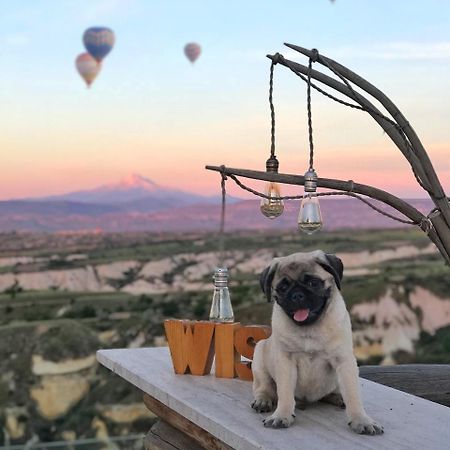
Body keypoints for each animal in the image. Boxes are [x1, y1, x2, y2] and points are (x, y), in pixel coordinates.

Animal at [250, 251, 384, 434]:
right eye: (283, 288)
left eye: (313, 283)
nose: (297, 295)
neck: (309, 328)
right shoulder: (285, 362)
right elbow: (285, 393)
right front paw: (282, 415)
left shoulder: (344, 361)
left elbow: (352, 394)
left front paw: (361, 420)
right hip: (259, 354)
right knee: (264, 386)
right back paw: (263, 400)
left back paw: (337, 397)